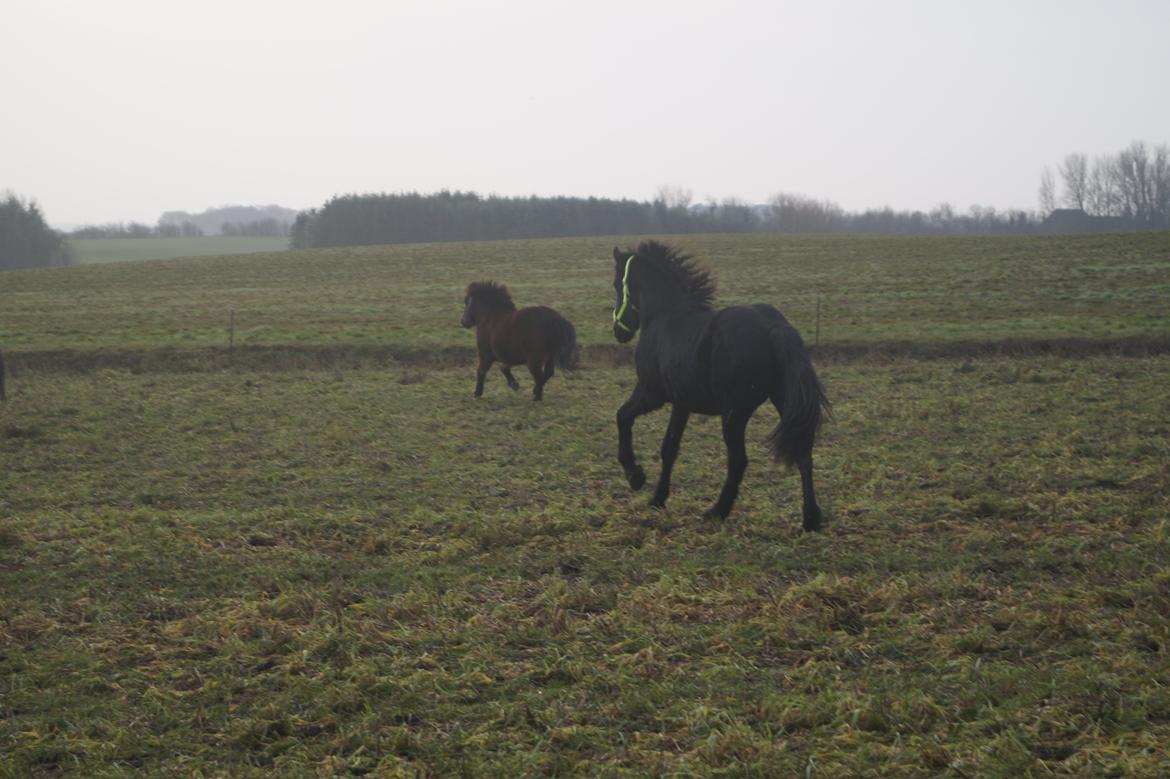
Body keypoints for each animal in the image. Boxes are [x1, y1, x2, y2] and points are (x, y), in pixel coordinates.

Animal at [608, 236, 828, 528]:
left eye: (616, 283)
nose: (619, 331)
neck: (664, 316)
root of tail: (774, 326)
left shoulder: (651, 393)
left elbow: (622, 416)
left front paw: (635, 476)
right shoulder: (681, 403)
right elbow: (669, 448)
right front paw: (657, 498)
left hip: (734, 413)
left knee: (738, 460)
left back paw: (717, 511)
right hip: (783, 401)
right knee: (803, 452)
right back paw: (810, 518)